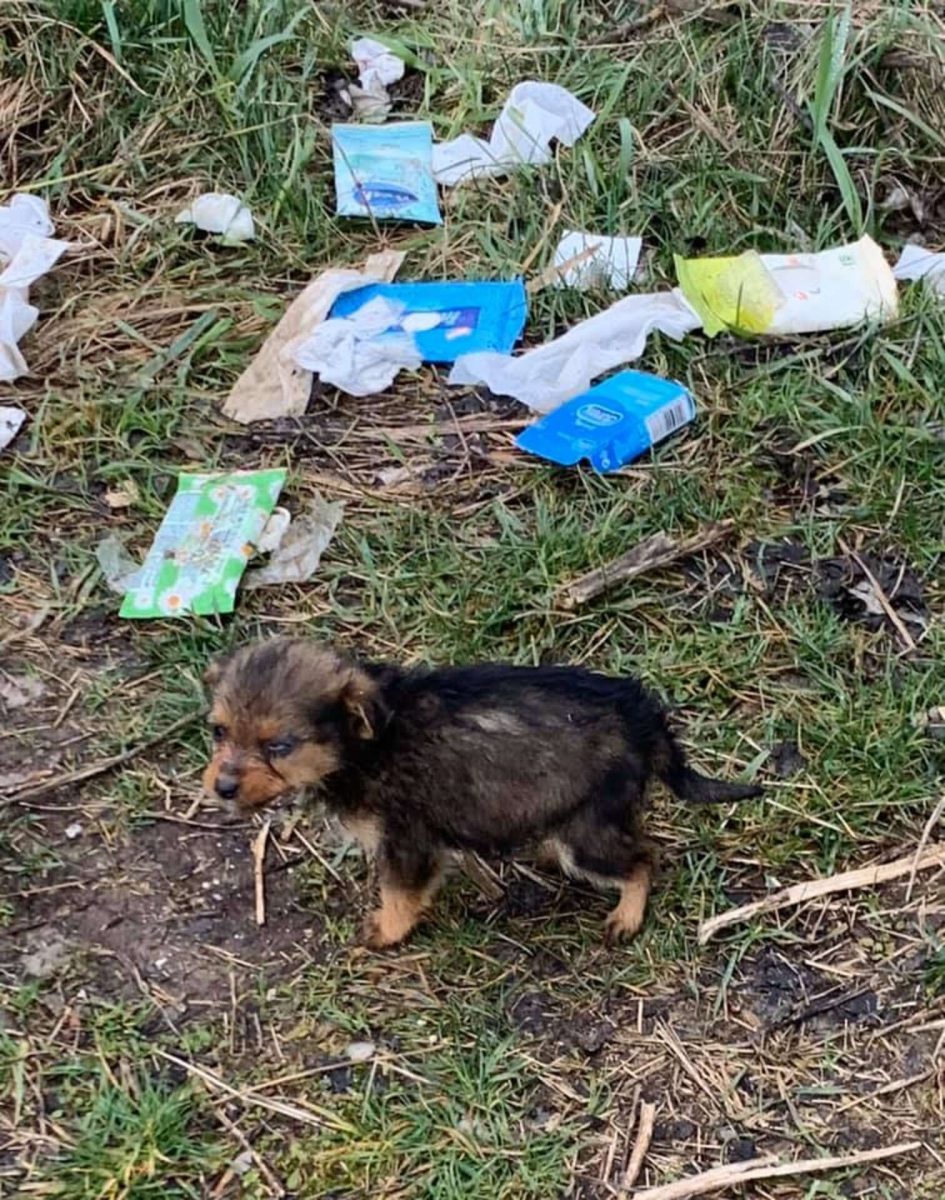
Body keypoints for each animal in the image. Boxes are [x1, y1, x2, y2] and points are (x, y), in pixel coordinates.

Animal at [201, 633, 762, 950]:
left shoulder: (406, 840)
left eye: (279, 745)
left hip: (589, 829)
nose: (221, 788)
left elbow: (398, 893)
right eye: (219, 731)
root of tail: (642, 714)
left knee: (645, 856)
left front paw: (385, 932)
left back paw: (626, 916)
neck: (364, 744)